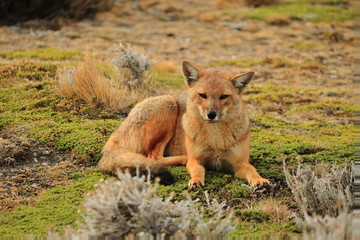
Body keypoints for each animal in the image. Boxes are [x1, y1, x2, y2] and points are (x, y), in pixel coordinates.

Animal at [98, 60, 270, 188]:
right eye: (203, 95)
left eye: (223, 97)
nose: (211, 114)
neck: (215, 139)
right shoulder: (197, 160)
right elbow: (198, 170)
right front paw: (196, 181)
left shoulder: (240, 163)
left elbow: (252, 170)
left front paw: (260, 180)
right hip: (169, 105)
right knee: (153, 157)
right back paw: (182, 158)